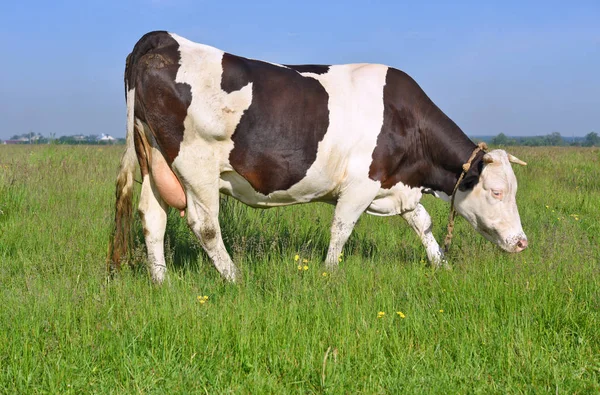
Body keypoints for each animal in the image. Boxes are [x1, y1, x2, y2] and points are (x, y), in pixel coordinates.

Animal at [109, 31, 528, 284]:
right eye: (496, 192)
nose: (522, 243)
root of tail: (165, 39)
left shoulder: (397, 185)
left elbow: (422, 223)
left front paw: (440, 263)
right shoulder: (362, 184)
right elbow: (341, 229)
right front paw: (329, 274)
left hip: (156, 161)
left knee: (152, 216)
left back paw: (161, 281)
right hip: (195, 165)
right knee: (205, 224)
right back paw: (235, 278)